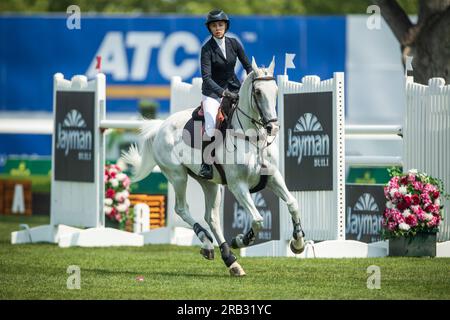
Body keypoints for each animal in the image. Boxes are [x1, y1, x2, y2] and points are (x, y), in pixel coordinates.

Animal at [122, 57, 306, 276]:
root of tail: (161, 126)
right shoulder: (238, 186)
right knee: (182, 209)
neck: (252, 138)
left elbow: (293, 204)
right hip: (178, 176)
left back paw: (230, 260)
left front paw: (298, 243)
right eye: (258, 92)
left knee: (212, 218)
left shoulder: (273, 177)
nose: (273, 127)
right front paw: (241, 240)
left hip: (209, 184)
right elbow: (258, 219)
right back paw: (208, 243)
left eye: (276, 90)